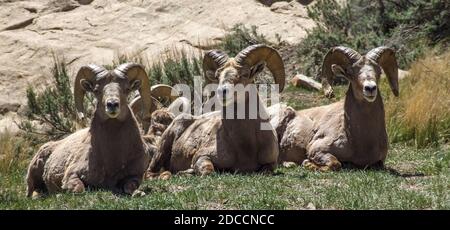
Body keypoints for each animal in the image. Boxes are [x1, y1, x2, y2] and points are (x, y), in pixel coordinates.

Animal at [26, 63, 154, 196]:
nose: (112, 104)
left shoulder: (135, 175)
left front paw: (138, 193)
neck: (112, 160)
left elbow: (130, 186)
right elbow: (79, 189)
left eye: (126, 89)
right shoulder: (72, 174)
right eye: (96, 90)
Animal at [149, 43, 286, 176]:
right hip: (161, 150)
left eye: (245, 74)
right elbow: (208, 171)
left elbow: (266, 170)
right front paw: (190, 171)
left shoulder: (271, 164)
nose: (222, 91)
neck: (245, 146)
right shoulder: (202, 156)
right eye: (217, 76)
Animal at [268, 45, 398, 170]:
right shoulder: (317, 149)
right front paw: (307, 163)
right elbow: (335, 164)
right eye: (350, 73)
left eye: (379, 72)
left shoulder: (379, 162)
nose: (370, 88)